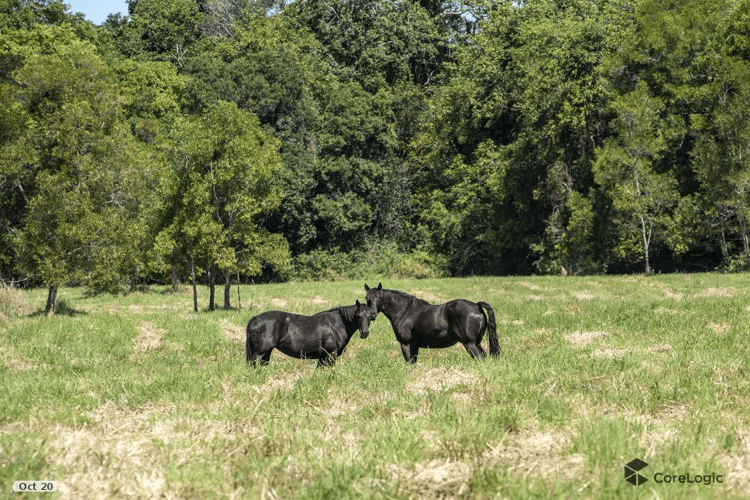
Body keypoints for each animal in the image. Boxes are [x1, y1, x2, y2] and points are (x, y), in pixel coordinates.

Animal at [245, 300, 376, 368]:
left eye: (370, 315)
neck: (337, 324)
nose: (364, 333)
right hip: (259, 352)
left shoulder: (323, 357)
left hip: (266, 352)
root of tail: (255, 319)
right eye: (358, 315)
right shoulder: (330, 354)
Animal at [364, 282, 500, 364]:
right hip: (477, 342)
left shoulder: (406, 344)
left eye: (379, 298)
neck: (405, 311)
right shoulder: (414, 345)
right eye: (366, 298)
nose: (372, 314)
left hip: (469, 343)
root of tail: (476, 306)